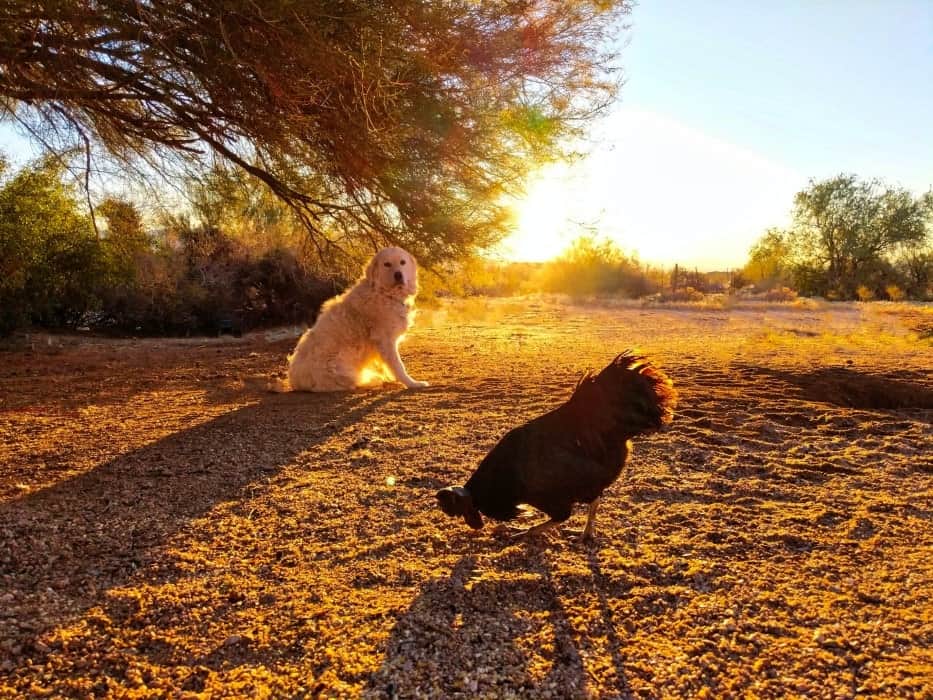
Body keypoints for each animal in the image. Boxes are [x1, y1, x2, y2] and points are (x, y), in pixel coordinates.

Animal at [286, 246, 428, 392]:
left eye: (402, 262)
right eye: (387, 264)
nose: (398, 275)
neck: (384, 293)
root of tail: (295, 381)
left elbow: (385, 365)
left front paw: (391, 378)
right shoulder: (385, 340)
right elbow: (398, 365)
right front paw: (412, 383)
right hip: (340, 366)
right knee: (352, 382)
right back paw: (374, 380)